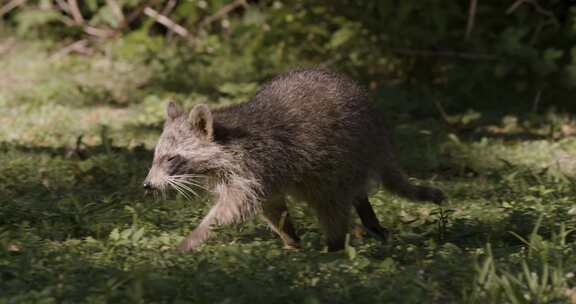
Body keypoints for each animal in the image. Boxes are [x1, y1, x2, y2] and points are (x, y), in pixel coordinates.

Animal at [142, 69, 444, 252]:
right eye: (156, 157)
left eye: (171, 159)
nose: (147, 186)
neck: (224, 134)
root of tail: (380, 132)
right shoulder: (262, 176)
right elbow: (272, 207)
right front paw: (290, 239)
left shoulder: (254, 164)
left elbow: (233, 207)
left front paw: (194, 236)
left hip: (343, 155)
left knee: (331, 201)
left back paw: (334, 245)